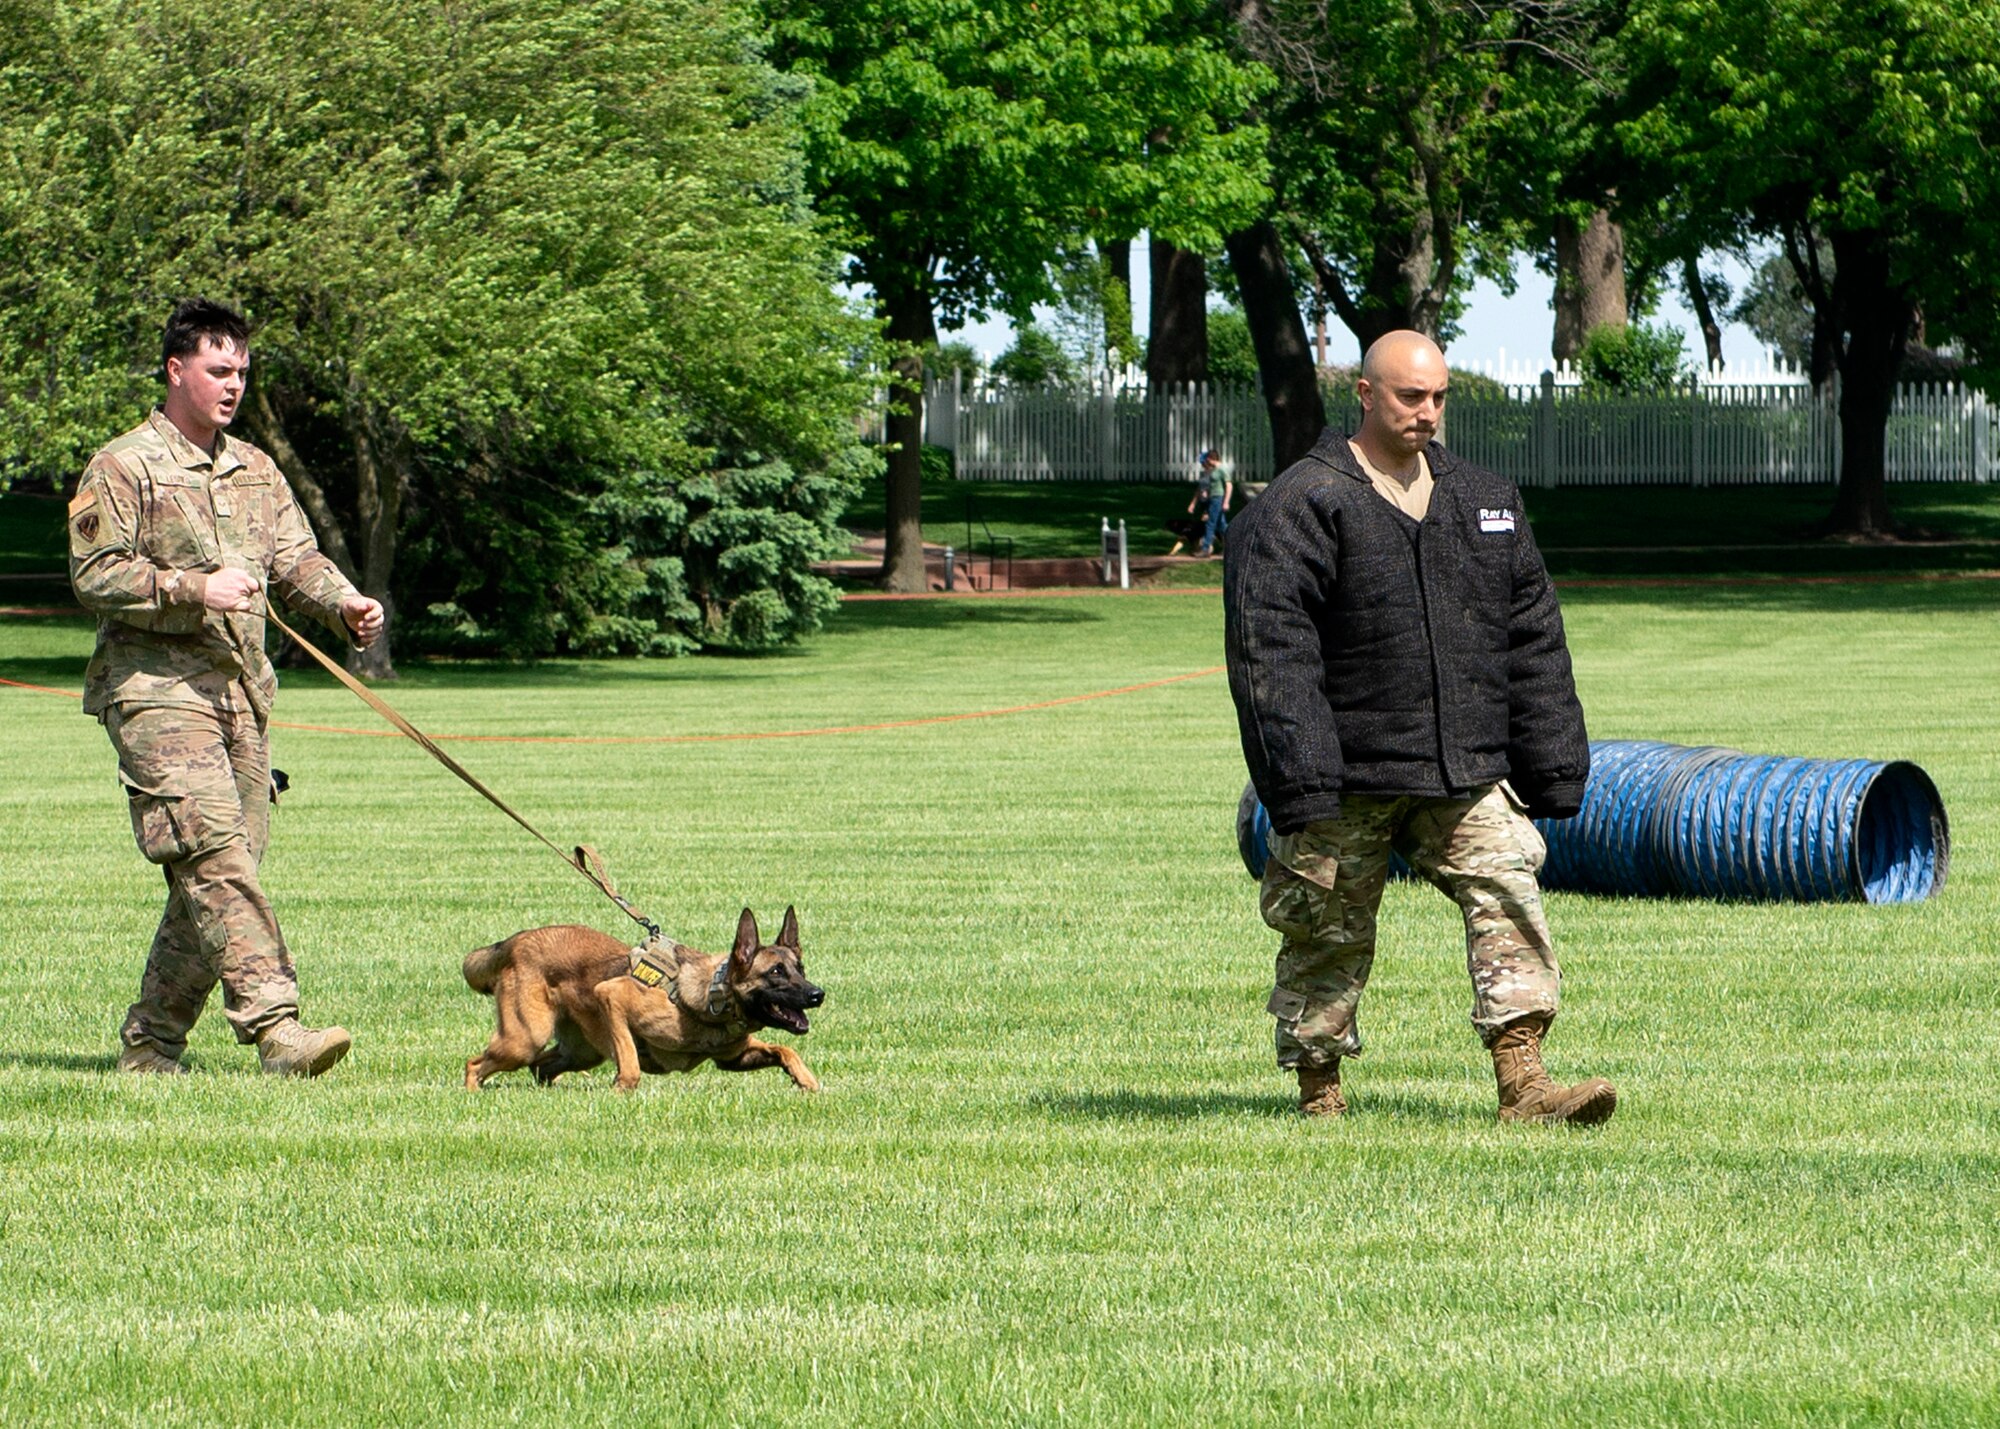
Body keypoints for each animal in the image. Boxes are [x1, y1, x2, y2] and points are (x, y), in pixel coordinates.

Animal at [462, 900, 820, 1088]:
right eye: (775, 972)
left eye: (800, 969)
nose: (818, 994)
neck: (712, 998)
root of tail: (517, 940)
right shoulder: (611, 996)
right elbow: (630, 1060)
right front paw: (622, 1090)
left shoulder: (734, 1058)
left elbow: (786, 1050)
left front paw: (807, 1083)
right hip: (525, 1039)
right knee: (474, 1064)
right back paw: (472, 1093)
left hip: (581, 1052)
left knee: (540, 1067)